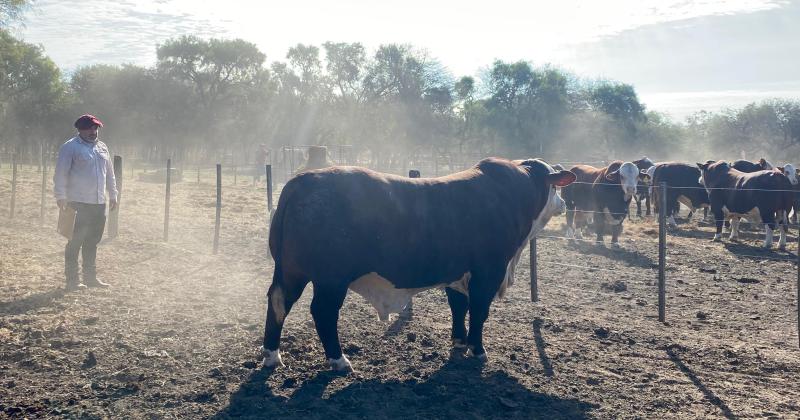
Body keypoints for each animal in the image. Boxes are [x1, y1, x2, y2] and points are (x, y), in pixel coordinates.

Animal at [262, 158, 576, 370]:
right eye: (555, 188)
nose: (564, 203)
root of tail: (302, 181)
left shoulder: (457, 272)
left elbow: (459, 307)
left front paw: (459, 341)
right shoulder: (488, 271)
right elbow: (478, 311)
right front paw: (478, 349)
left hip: (290, 271)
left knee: (278, 302)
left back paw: (272, 355)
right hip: (330, 279)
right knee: (323, 312)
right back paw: (339, 360)